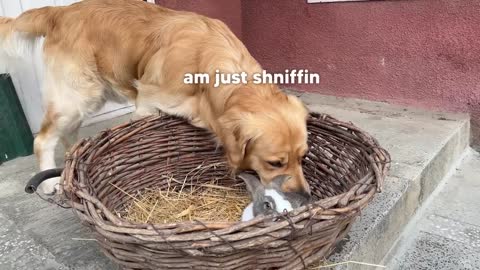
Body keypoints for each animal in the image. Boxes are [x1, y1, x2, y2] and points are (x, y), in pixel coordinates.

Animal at [0, 0, 312, 198]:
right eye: (275, 163)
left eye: (302, 158)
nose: (304, 195)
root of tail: (60, 11)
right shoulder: (147, 104)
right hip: (76, 96)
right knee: (43, 139)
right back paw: (48, 183)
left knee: (68, 135)